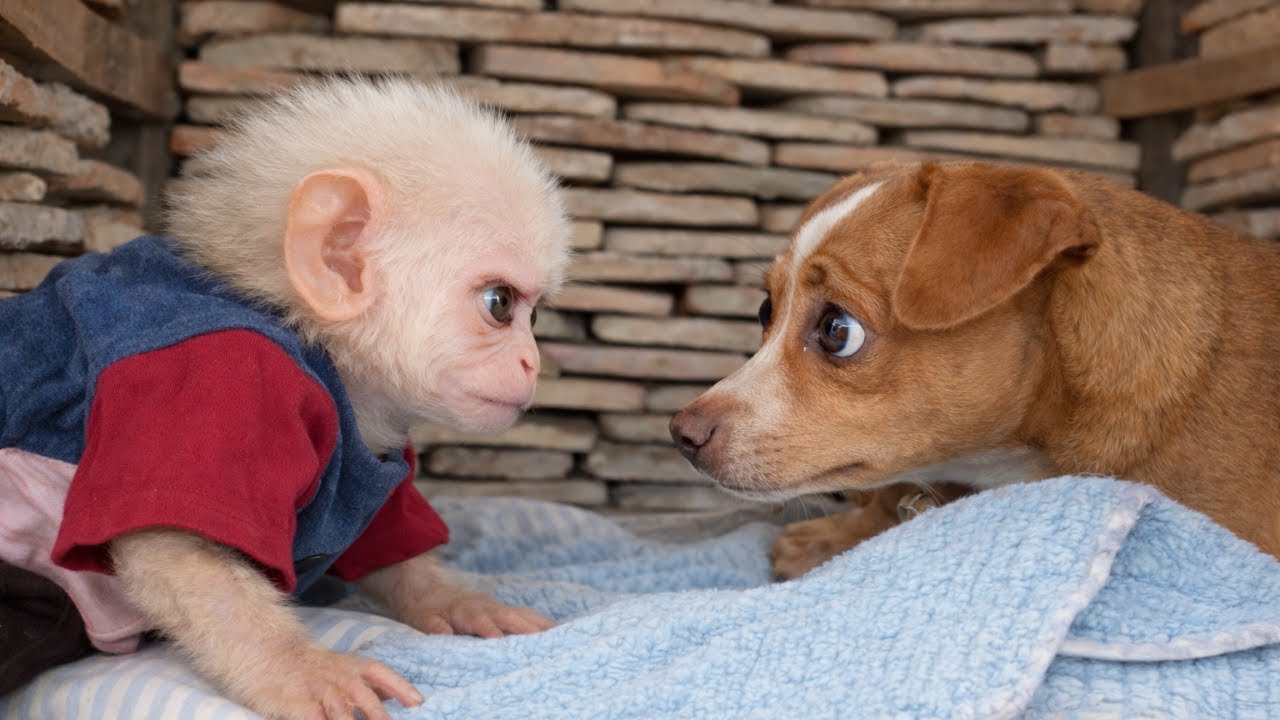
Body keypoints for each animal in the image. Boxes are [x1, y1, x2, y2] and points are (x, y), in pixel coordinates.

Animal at [0, 77, 569, 719]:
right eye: (500, 305)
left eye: (533, 316)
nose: (532, 363)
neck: (317, 344)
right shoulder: (215, 374)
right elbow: (178, 554)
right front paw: (303, 671)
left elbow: (389, 545)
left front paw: (458, 602)